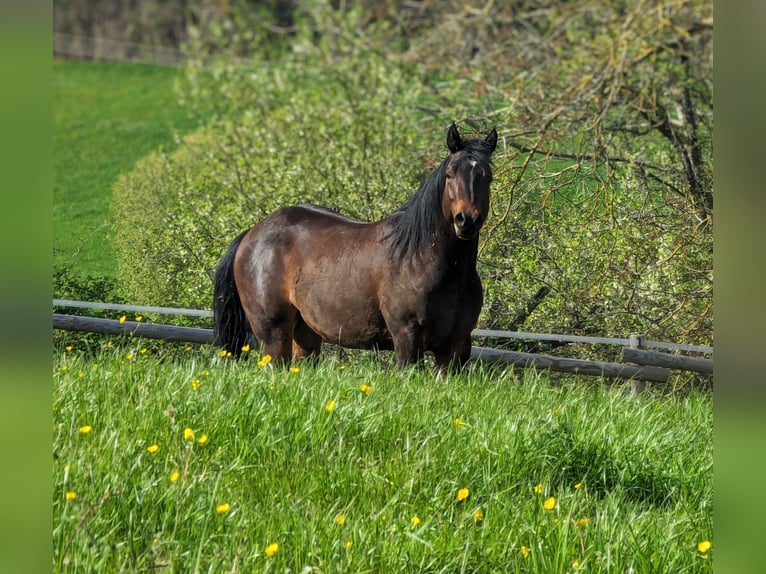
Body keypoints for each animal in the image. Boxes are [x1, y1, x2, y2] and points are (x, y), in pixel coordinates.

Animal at [212, 124, 498, 372]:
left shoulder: (456, 347)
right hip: (273, 333)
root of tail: (252, 233)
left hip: (306, 333)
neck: (426, 260)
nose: (466, 221)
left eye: (488, 177)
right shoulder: (407, 338)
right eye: (450, 173)